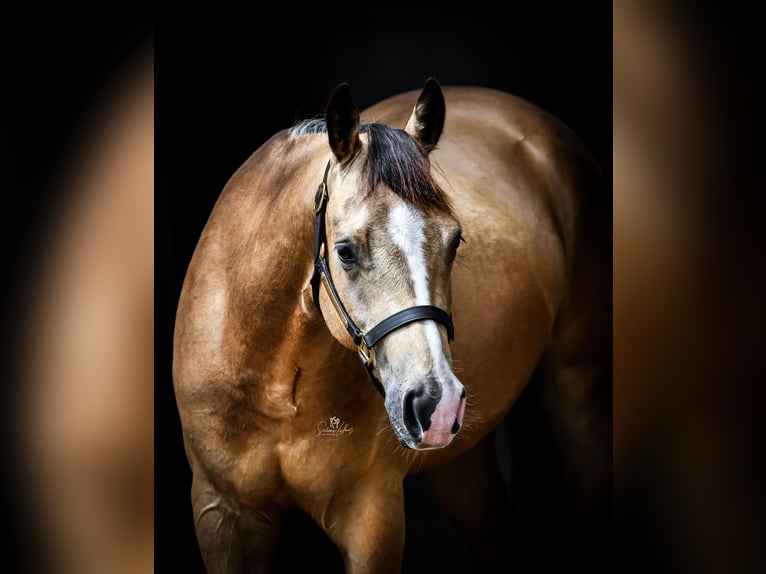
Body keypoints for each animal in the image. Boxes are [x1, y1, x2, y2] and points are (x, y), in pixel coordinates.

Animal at [172, 78, 612, 573]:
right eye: (344, 251)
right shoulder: (221, 513)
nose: (436, 403)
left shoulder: (371, 516)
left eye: (455, 240)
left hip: (581, 397)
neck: (275, 383)